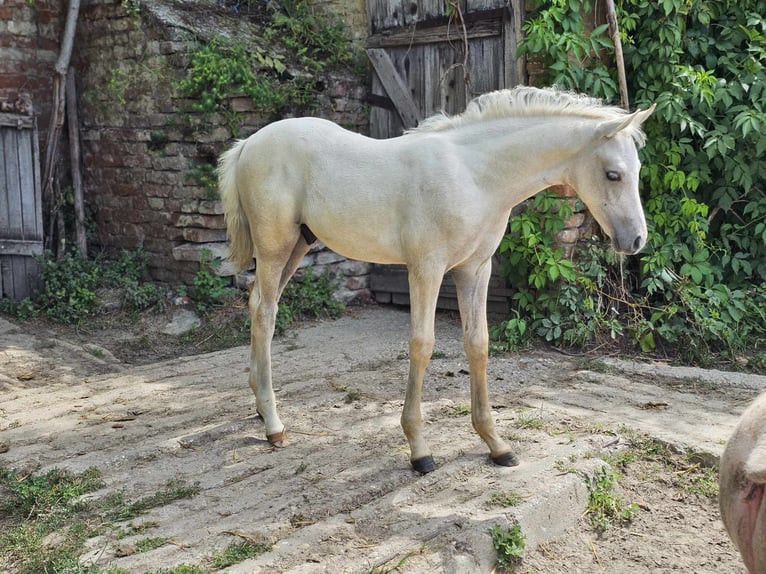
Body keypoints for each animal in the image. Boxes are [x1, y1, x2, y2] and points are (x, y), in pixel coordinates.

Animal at [219, 84, 656, 472]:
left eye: (637, 170)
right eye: (613, 174)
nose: (635, 240)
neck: (475, 177)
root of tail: (249, 143)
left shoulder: (476, 269)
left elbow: (478, 344)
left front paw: (496, 444)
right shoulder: (427, 268)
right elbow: (422, 344)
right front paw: (419, 450)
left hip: (298, 246)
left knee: (259, 305)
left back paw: (259, 407)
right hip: (275, 247)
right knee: (266, 312)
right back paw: (274, 424)